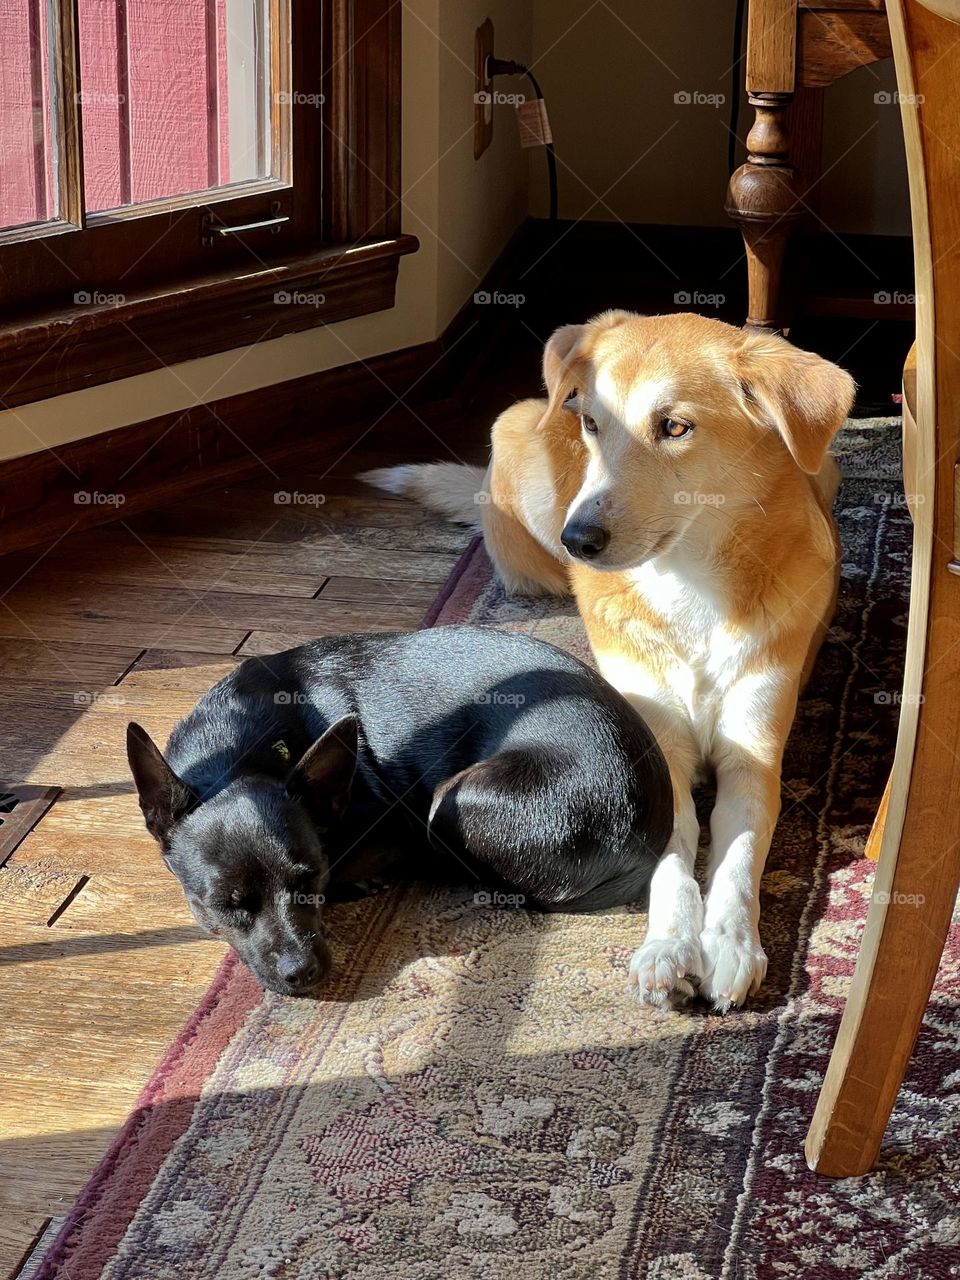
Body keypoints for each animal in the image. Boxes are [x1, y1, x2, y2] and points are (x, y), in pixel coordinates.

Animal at [126, 624, 670, 993]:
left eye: (312, 876)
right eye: (224, 904)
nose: (302, 972)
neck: (236, 751)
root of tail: (645, 836)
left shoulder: (398, 828)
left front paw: (360, 879)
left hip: (455, 796)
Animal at [363, 309, 855, 1008]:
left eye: (674, 427)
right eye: (593, 422)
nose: (581, 540)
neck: (691, 583)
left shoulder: (754, 756)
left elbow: (736, 855)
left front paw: (732, 944)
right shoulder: (659, 754)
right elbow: (674, 857)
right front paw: (669, 947)